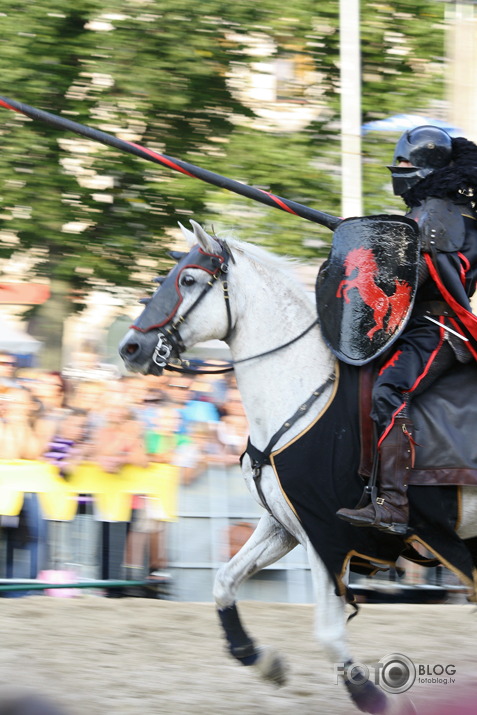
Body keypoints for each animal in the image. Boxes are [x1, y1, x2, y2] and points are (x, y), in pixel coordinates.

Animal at [118, 221, 476, 712]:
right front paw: (260, 659)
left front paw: (377, 698)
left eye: (188, 280)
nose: (130, 348)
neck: (304, 391)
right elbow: (223, 581)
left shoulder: (327, 538)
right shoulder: (285, 526)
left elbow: (328, 634)